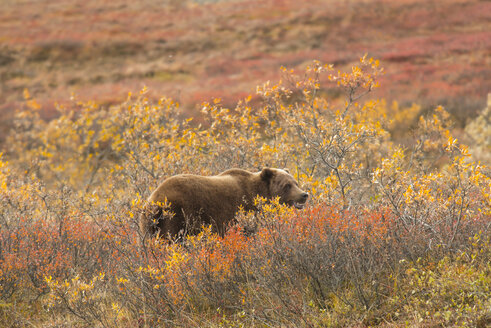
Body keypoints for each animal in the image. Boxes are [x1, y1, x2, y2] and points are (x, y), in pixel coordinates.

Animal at [140, 168, 308, 240]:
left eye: (296, 182)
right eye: (287, 185)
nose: (304, 195)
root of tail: (154, 200)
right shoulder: (241, 210)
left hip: (150, 225)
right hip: (175, 216)